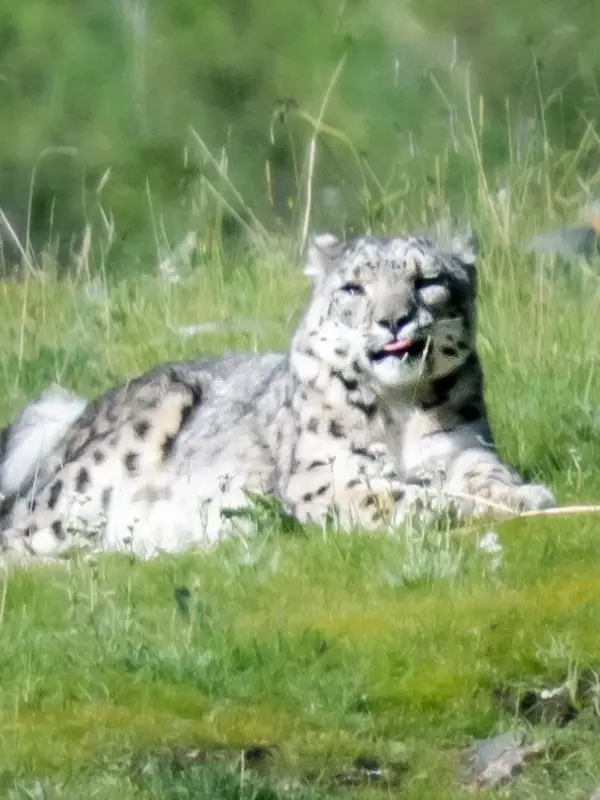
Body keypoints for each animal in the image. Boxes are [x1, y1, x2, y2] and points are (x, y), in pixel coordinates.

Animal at [0, 232, 555, 563]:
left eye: (428, 281)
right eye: (353, 288)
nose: (393, 319)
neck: (399, 412)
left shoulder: (465, 449)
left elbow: (488, 476)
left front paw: (525, 495)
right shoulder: (329, 476)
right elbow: (405, 497)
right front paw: (466, 506)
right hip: (99, 463)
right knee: (20, 534)